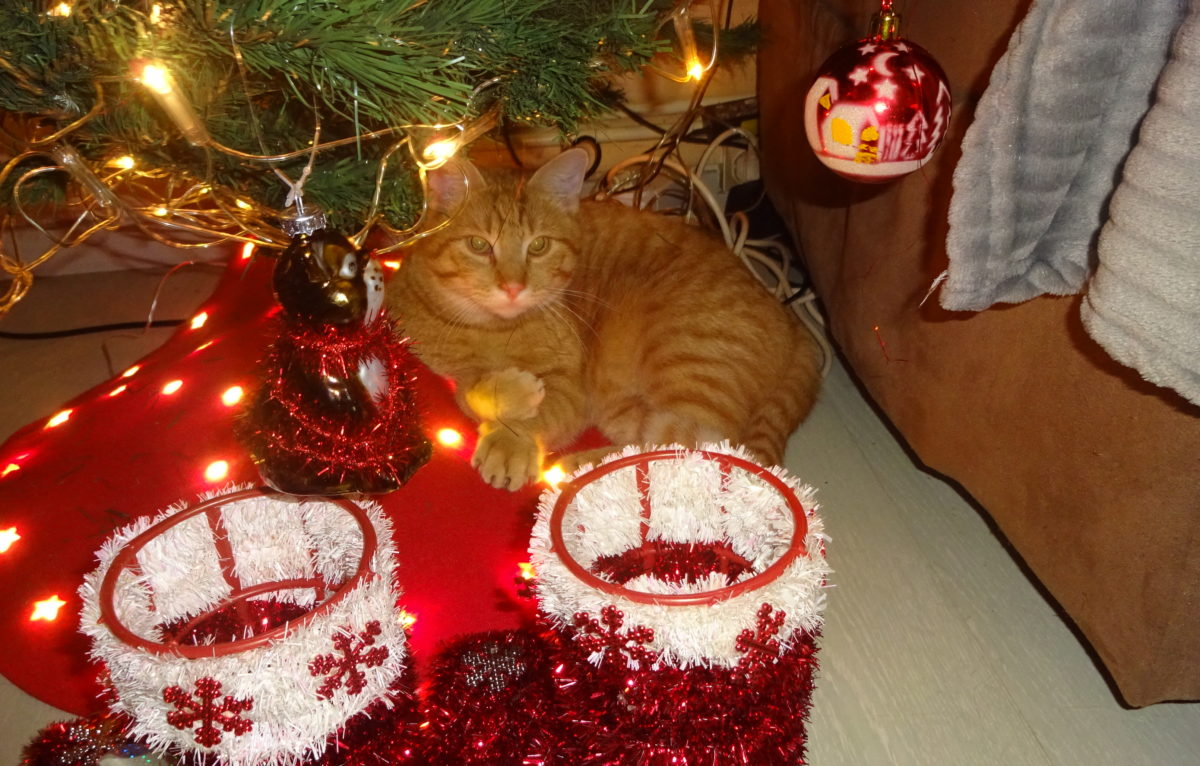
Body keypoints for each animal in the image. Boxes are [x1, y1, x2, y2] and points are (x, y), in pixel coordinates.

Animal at [388, 147, 820, 489]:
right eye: (479, 245)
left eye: (539, 246)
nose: (513, 286)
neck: (492, 330)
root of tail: (795, 324)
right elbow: (470, 388)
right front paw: (507, 391)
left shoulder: (571, 390)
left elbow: (534, 407)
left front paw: (512, 439)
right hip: (623, 403)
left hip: (685, 365)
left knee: (699, 454)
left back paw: (582, 469)